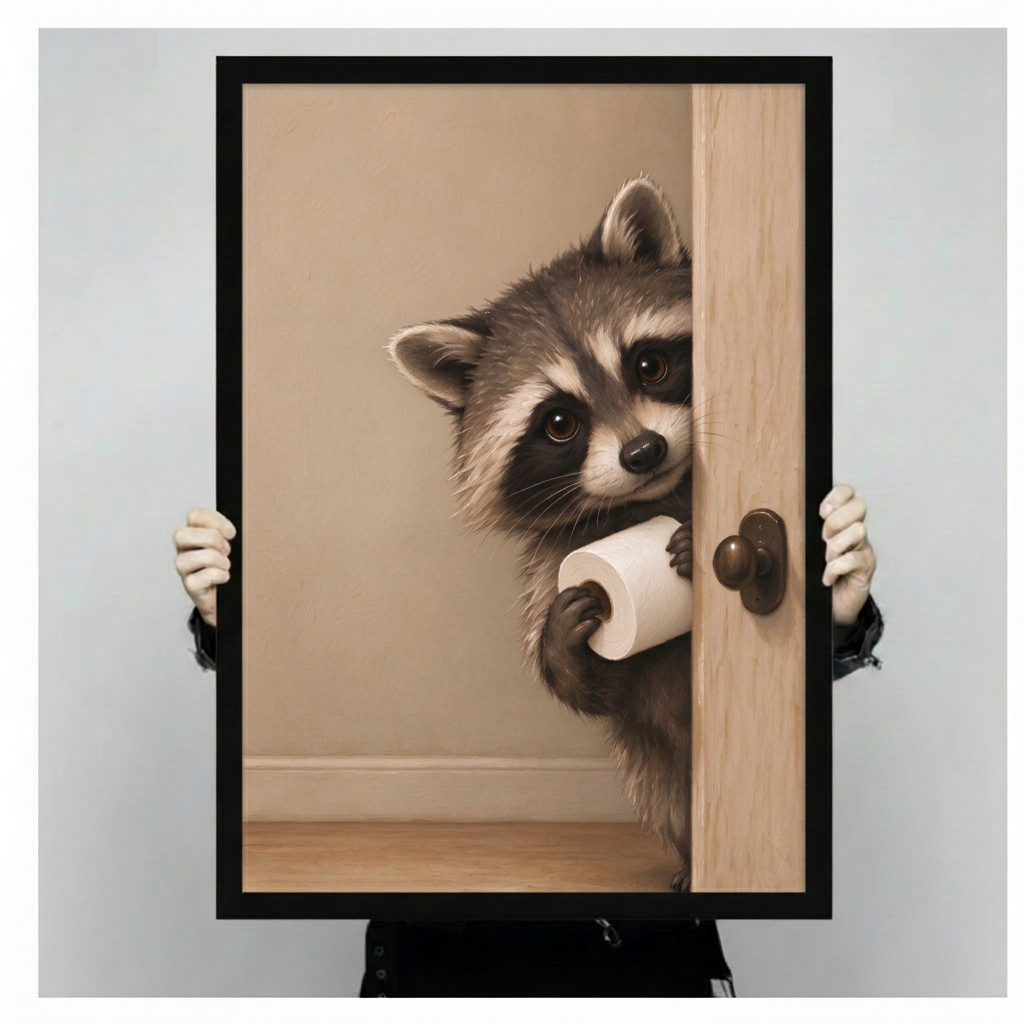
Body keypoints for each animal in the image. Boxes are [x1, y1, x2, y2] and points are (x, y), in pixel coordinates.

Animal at [390, 177, 696, 891]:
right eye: (559, 424)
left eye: (649, 365)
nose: (643, 451)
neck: (652, 498)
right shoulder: (553, 562)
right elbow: (606, 687)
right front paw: (568, 643)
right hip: (657, 772)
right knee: (662, 784)